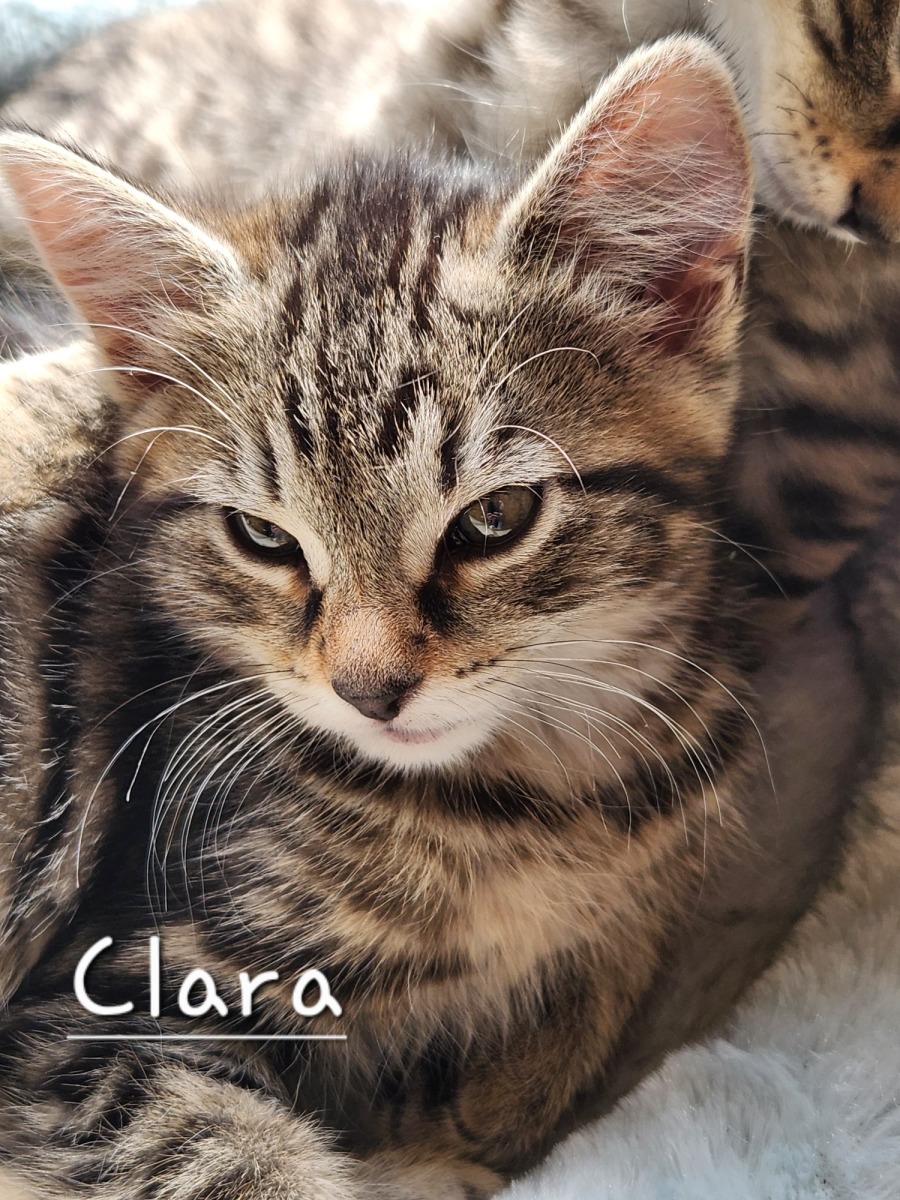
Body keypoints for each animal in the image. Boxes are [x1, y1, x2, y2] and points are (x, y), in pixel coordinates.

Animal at [0, 35, 814, 1200]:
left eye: (495, 519)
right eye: (264, 537)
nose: (370, 689)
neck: (532, 804)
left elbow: (610, 969)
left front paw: (496, 1092)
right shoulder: (93, 1008)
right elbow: (240, 1159)